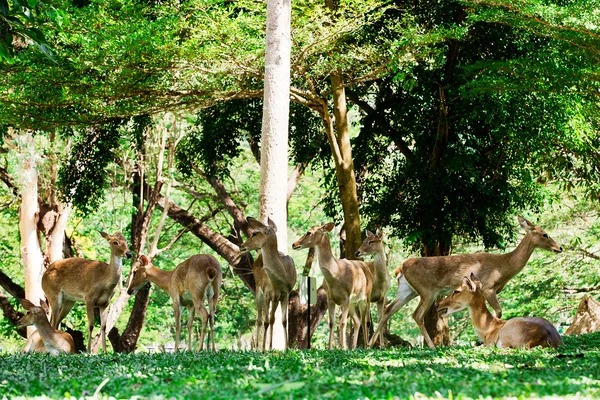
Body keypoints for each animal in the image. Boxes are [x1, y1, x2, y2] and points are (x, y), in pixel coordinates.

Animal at [238, 217, 296, 352]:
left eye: (254, 234)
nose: (241, 246)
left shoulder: (284, 294)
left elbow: (283, 321)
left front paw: (286, 348)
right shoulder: (266, 293)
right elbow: (265, 321)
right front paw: (263, 349)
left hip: (274, 299)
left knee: (272, 319)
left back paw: (269, 347)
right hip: (258, 290)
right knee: (259, 319)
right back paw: (257, 348)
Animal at [290, 222, 370, 350]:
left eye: (309, 232)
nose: (294, 244)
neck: (336, 274)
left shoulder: (346, 297)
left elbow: (342, 322)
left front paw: (343, 347)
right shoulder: (330, 298)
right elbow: (332, 323)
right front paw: (330, 347)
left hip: (366, 297)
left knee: (364, 321)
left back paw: (366, 346)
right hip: (353, 303)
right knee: (357, 321)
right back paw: (353, 347)